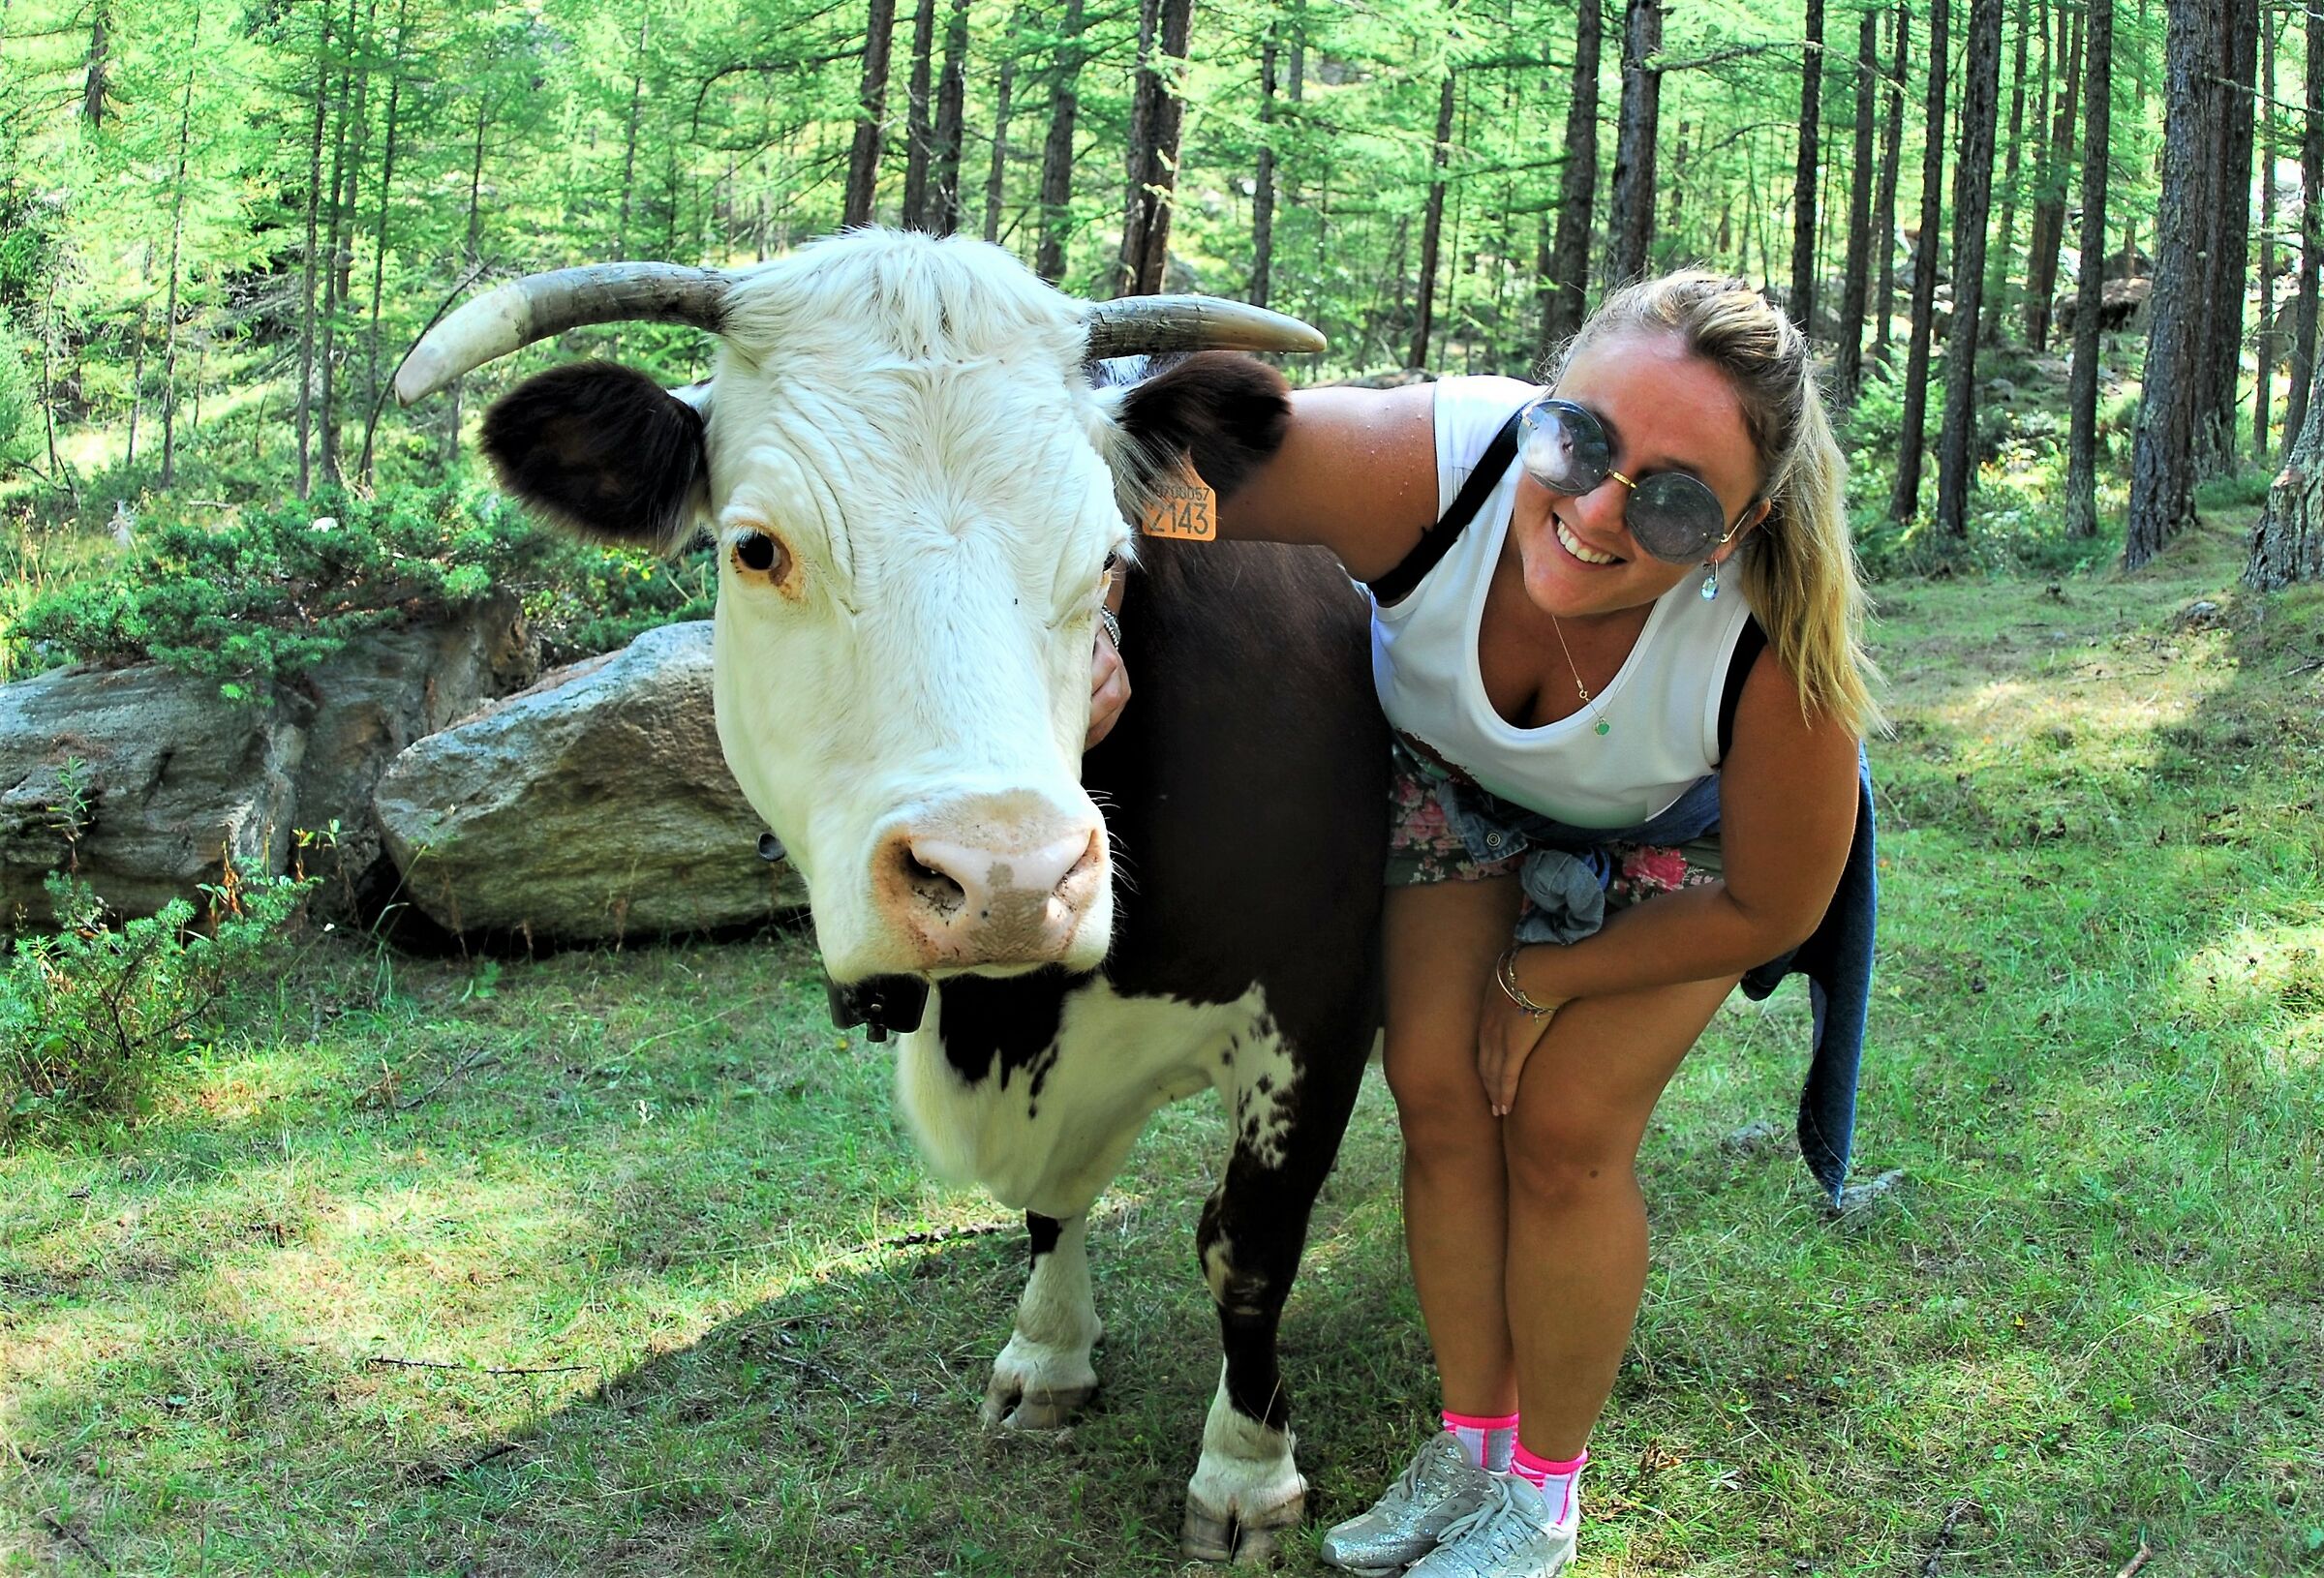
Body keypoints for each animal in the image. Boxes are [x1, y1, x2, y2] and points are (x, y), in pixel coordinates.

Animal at [395, 229, 1390, 1563]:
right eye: (756, 547)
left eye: (1108, 557)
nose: (1008, 877)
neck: (1016, 1022)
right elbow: (1052, 1206)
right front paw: (1048, 1355)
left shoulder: (1319, 1006)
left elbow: (1247, 1246)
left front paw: (1245, 1470)